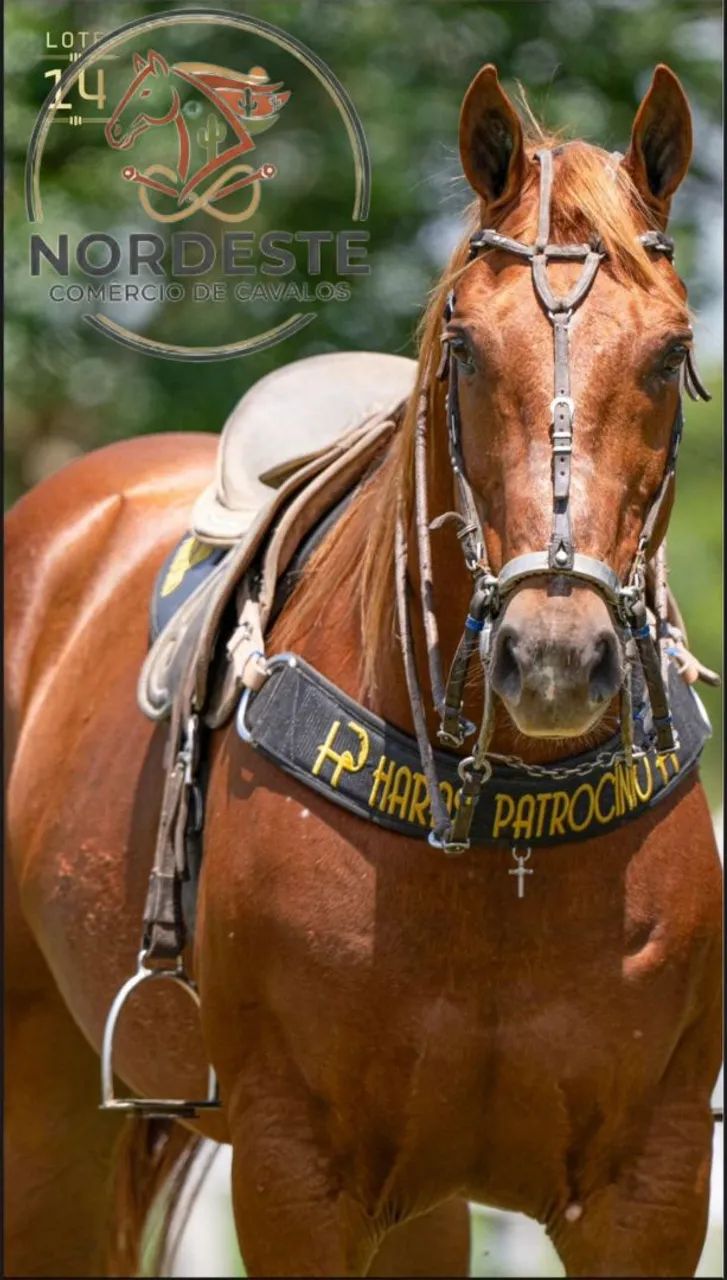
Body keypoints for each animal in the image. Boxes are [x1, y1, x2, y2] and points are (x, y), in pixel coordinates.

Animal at [5, 63, 721, 1278]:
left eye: (670, 351)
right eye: (466, 346)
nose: (555, 657)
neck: (500, 838)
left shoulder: (653, 1185)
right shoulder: (295, 1175)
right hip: (43, 1105)